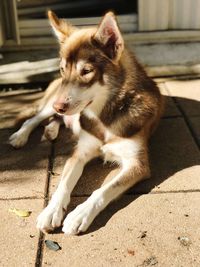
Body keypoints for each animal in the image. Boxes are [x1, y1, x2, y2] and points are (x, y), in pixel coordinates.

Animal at [8, 11, 163, 236]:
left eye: (86, 71)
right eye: (63, 69)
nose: (59, 106)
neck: (104, 117)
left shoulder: (137, 165)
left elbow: (103, 190)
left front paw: (79, 214)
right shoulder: (79, 153)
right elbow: (63, 185)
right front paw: (51, 211)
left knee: (54, 119)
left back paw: (51, 130)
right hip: (49, 103)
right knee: (34, 118)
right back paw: (21, 136)